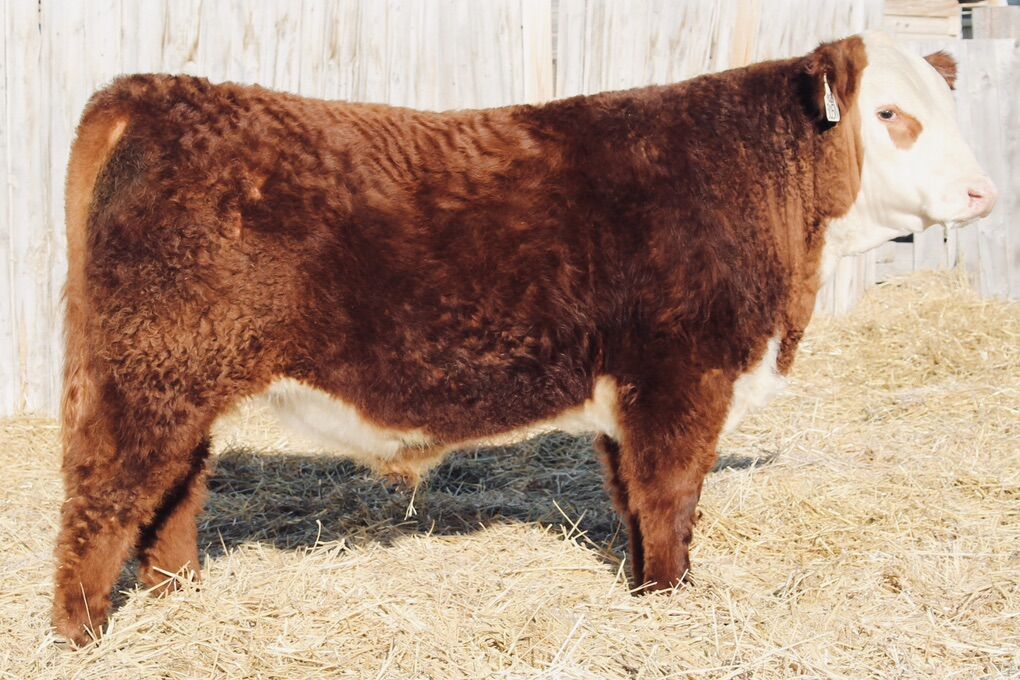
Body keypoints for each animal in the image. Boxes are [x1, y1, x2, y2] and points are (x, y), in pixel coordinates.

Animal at [54, 31, 996, 645]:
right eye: (891, 114)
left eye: (951, 110)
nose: (984, 191)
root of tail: (151, 93)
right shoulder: (681, 375)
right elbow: (673, 494)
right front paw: (673, 600)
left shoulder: (628, 392)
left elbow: (633, 499)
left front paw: (642, 588)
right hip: (147, 373)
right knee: (103, 500)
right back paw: (79, 635)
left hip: (180, 380)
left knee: (172, 493)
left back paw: (181, 601)